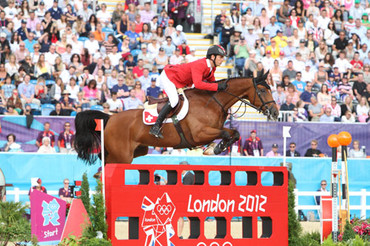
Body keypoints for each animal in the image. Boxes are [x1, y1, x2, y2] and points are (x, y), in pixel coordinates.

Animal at [74, 73, 278, 165]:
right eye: (262, 90)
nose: (275, 112)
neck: (213, 102)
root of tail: (110, 119)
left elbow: (233, 133)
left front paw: (214, 148)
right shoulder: (199, 134)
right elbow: (229, 132)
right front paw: (215, 149)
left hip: (135, 151)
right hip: (122, 156)